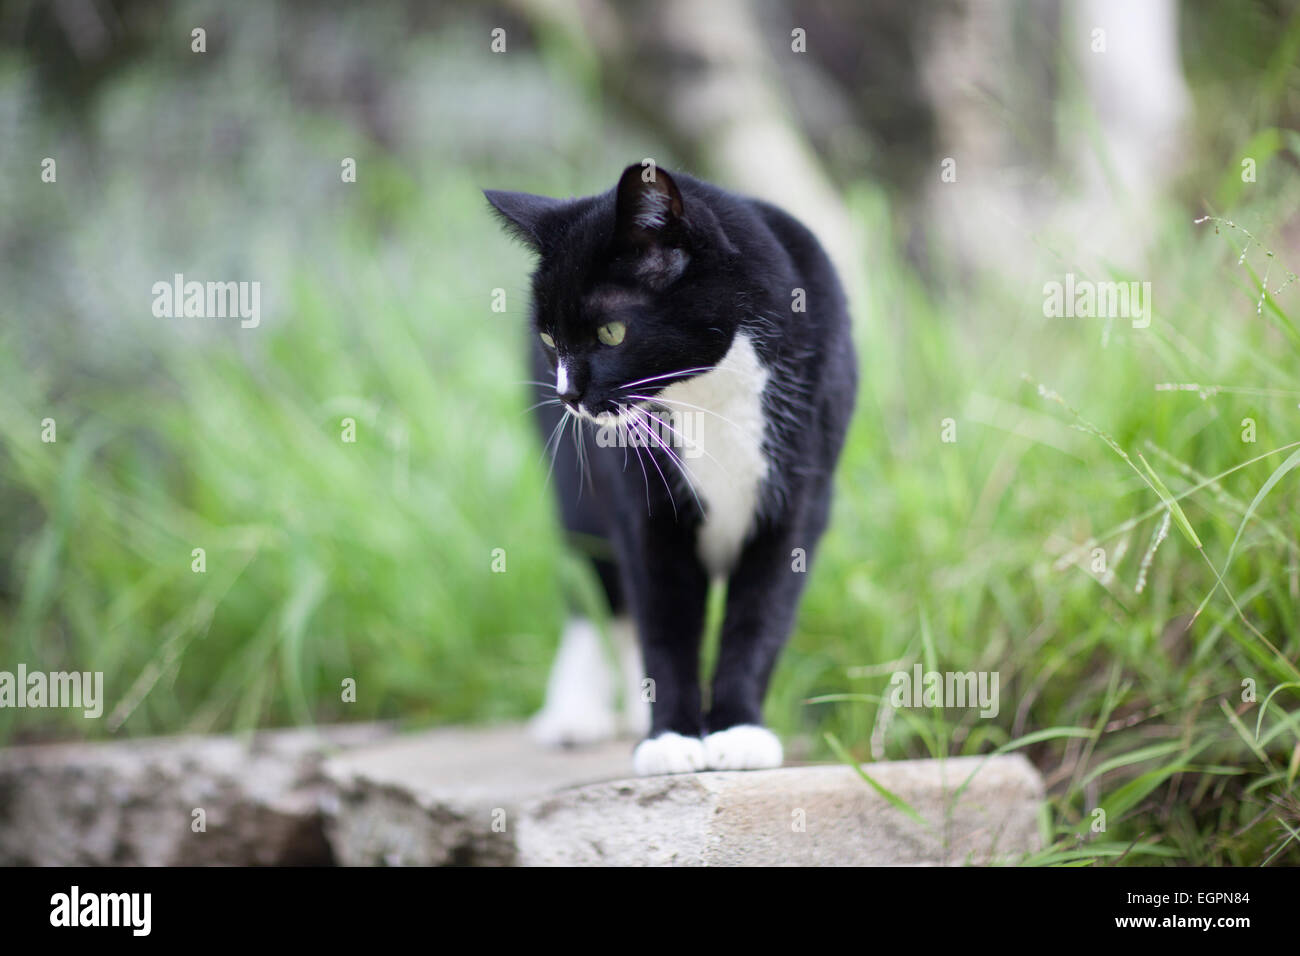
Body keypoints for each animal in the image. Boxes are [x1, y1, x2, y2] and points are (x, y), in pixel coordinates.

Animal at [483, 164, 857, 775]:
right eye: (548, 338)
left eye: (611, 332)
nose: (568, 396)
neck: (710, 397)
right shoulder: (644, 508)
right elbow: (664, 620)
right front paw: (670, 737)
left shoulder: (800, 501)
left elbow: (760, 615)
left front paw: (738, 731)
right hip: (577, 492)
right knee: (595, 588)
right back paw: (574, 713)